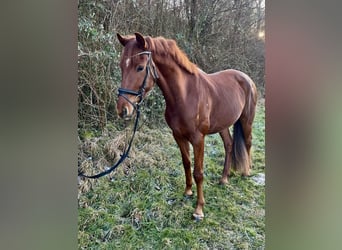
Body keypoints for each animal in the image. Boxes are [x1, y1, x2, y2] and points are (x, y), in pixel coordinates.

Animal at [115, 32, 256, 219]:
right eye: (122, 66)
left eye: (140, 67)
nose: (122, 109)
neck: (185, 95)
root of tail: (246, 78)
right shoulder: (178, 135)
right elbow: (186, 163)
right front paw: (188, 191)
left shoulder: (198, 139)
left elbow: (199, 172)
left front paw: (199, 209)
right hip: (223, 125)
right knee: (229, 144)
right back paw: (224, 178)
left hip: (247, 120)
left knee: (247, 143)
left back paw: (247, 172)